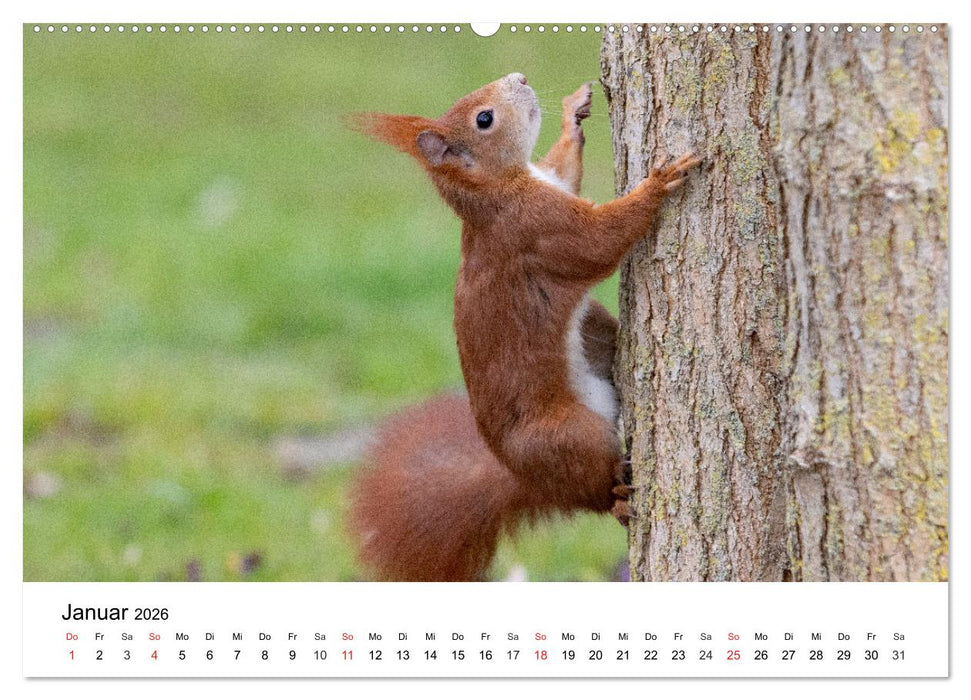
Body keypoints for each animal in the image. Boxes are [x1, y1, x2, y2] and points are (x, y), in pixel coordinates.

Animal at [347, 73, 699, 581]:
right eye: (484, 119)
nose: (519, 79)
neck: (495, 192)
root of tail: (526, 479)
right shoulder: (537, 229)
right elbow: (600, 240)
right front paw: (657, 184)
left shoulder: (550, 183)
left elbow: (564, 168)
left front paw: (573, 114)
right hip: (568, 437)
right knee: (593, 490)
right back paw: (616, 500)